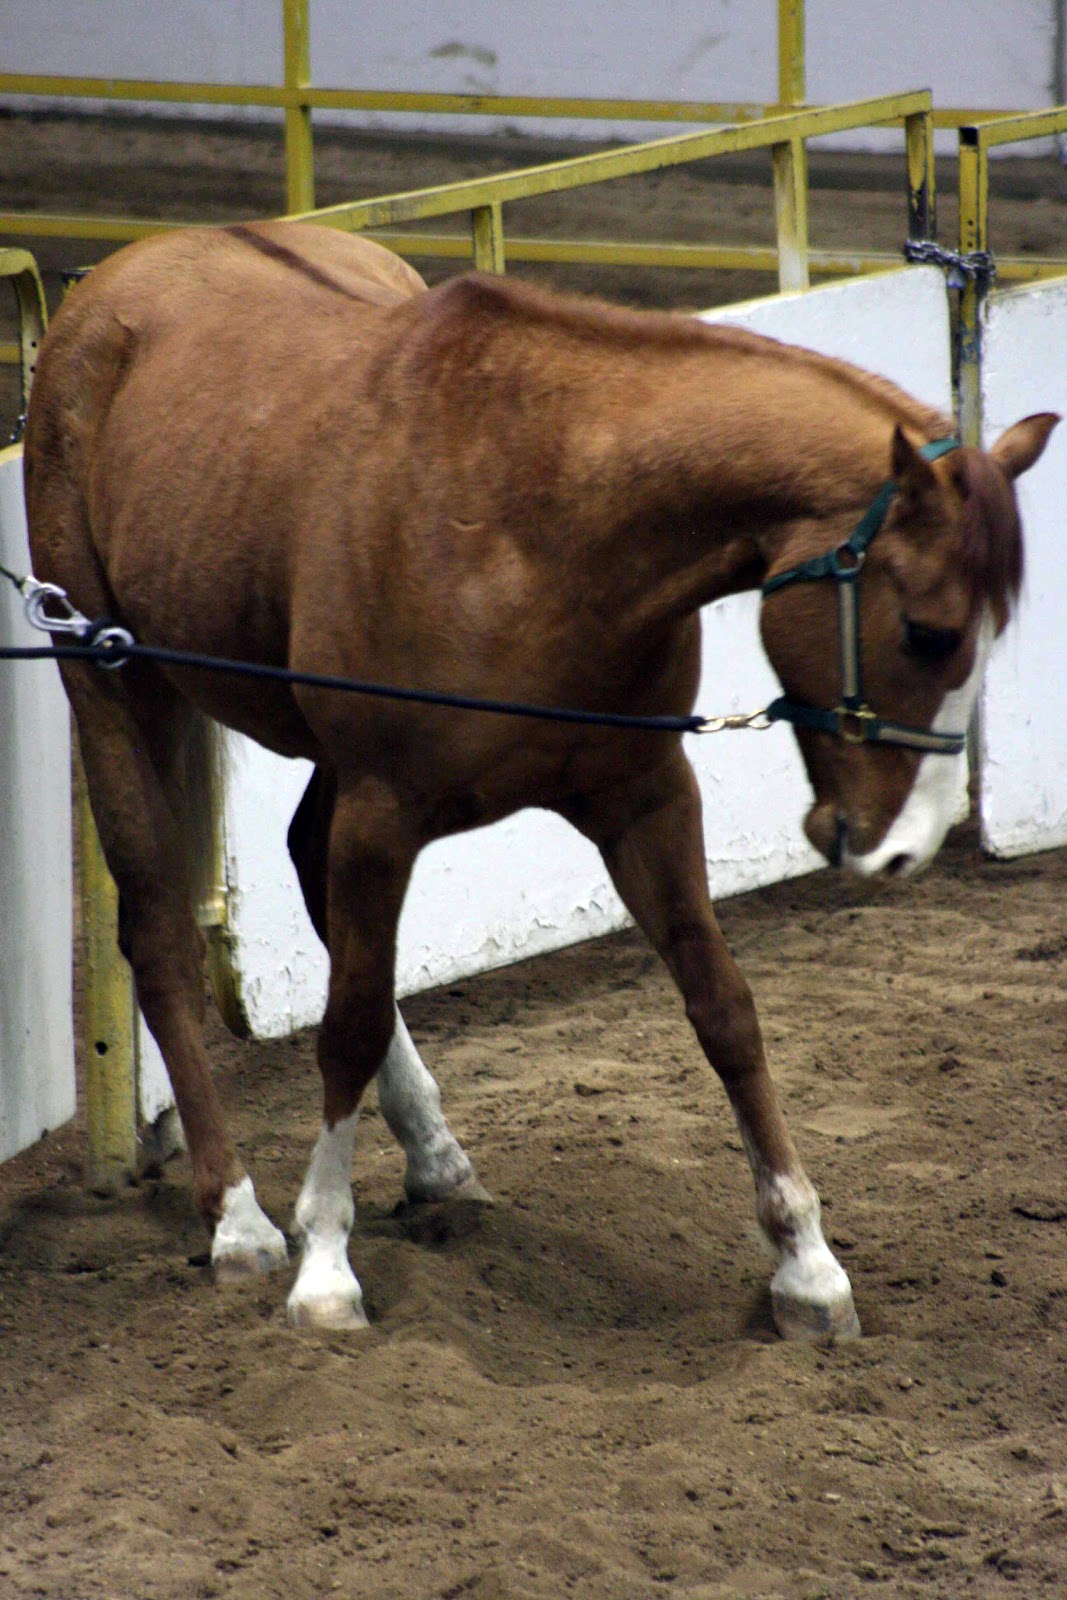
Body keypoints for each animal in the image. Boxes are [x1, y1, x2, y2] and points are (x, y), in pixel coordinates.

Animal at [23, 220, 1055, 1340]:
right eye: (927, 632)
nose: (905, 847)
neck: (537, 519)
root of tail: (115, 283)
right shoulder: (382, 813)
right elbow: (345, 1023)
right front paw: (325, 1265)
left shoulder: (645, 799)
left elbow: (722, 1008)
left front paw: (806, 1267)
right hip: (113, 683)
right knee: (162, 933)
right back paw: (238, 1216)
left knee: (305, 879)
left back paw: (432, 1159)